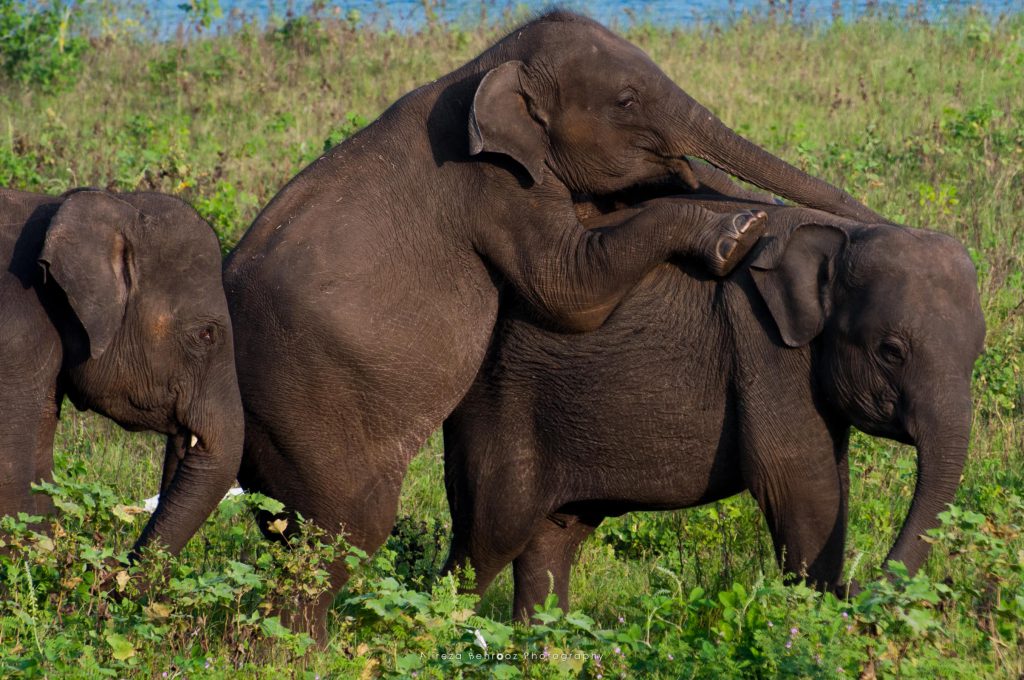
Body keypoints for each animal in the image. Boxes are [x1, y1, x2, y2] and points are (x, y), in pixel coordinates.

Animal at [222, 9, 888, 639]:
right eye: (626, 100)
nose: (881, 225)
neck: (481, 65)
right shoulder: (496, 187)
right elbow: (569, 287)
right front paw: (736, 235)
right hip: (309, 412)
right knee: (346, 531)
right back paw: (308, 652)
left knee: (287, 533)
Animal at [444, 192, 987, 622]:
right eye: (891, 352)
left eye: (978, 352)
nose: (857, 586)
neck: (841, 233)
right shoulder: (764, 344)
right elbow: (799, 480)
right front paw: (817, 617)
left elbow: (831, 477)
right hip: (495, 405)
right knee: (487, 537)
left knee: (553, 538)